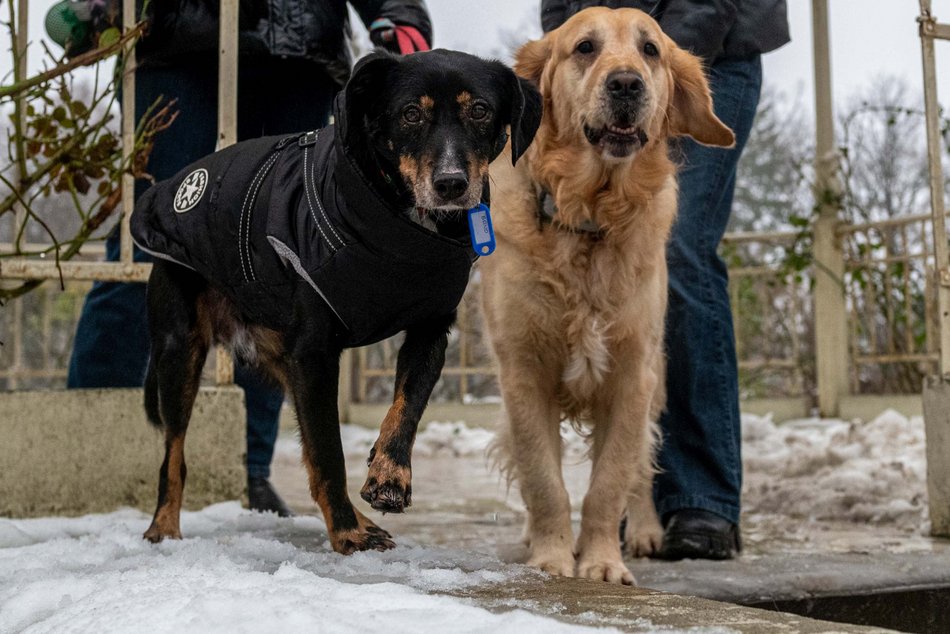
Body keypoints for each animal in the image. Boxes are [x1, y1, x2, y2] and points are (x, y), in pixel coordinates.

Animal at [132, 50, 544, 552]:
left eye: (480, 110)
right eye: (411, 113)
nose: (451, 183)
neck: (404, 230)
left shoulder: (428, 332)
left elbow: (406, 408)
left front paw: (388, 477)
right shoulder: (314, 353)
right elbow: (329, 451)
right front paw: (347, 531)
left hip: (281, 360)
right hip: (181, 352)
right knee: (173, 453)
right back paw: (163, 527)